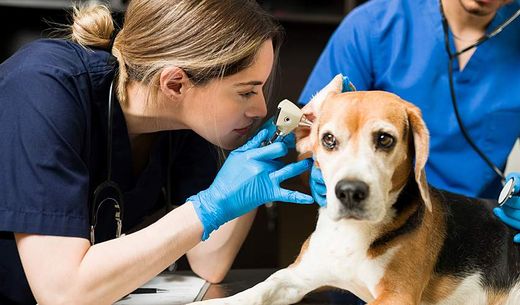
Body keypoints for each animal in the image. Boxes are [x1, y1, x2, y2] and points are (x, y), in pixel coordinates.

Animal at [190, 76, 520, 304]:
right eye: (329, 140)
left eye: (385, 139)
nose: (349, 191)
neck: (351, 234)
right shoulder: (295, 276)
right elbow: (256, 290)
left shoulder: (397, 295)